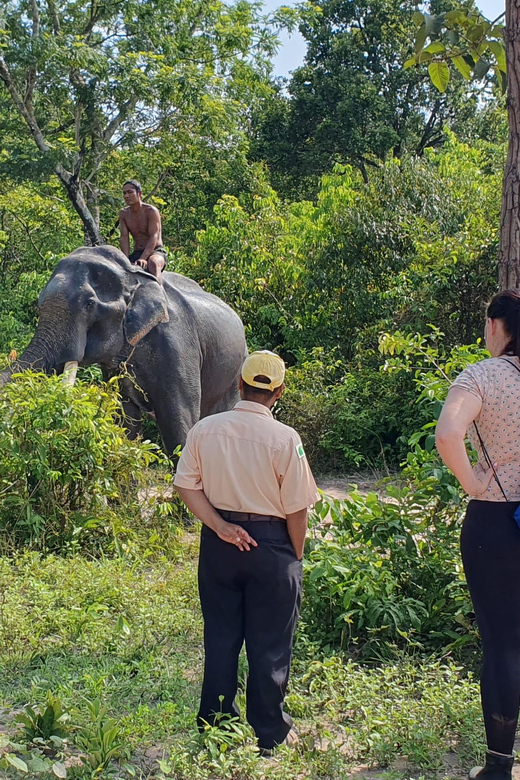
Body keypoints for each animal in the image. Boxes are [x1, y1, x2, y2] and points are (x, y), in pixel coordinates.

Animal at [0, 244, 248, 450]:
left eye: (89, 304)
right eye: (39, 302)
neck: (132, 276)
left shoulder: (178, 347)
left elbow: (179, 424)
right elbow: (125, 422)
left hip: (236, 372)